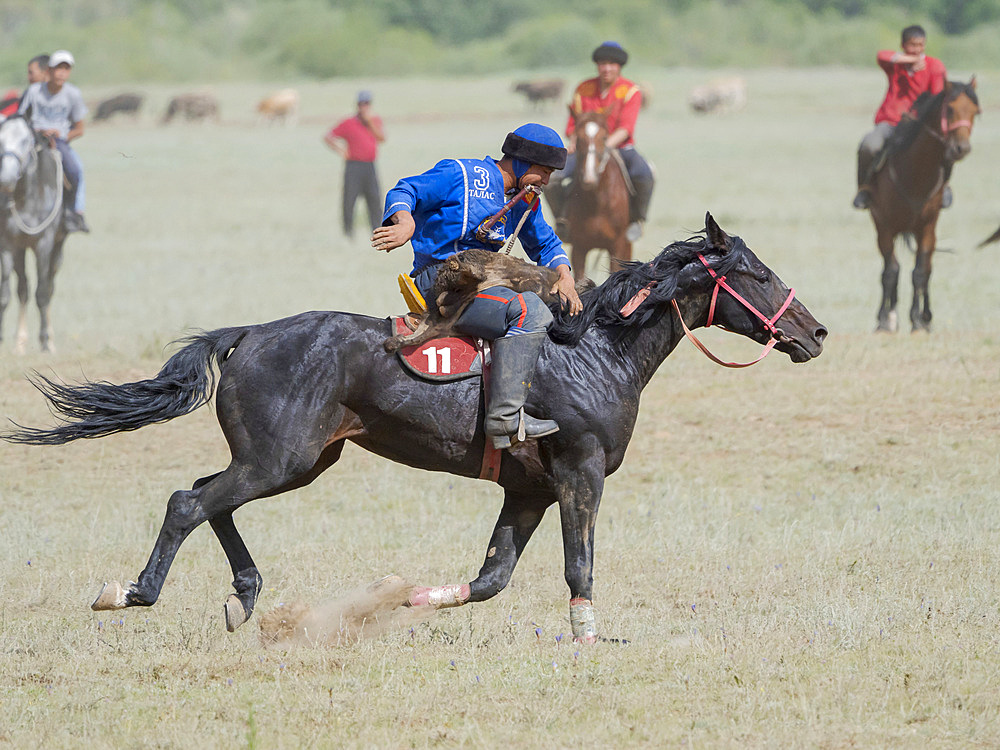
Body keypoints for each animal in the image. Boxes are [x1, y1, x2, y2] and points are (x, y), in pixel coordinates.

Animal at [3, 216, 824, 648]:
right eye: (754, 273)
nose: (814, 333)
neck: (595, 350)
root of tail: (248, 334)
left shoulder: (528, 492)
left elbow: (491, 578)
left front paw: (399, 598)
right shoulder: (578, 476)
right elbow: (578, 566)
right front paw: (587, 638)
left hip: (297, 462)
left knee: (212, 499)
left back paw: (244, 595)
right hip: (279, 459)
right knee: (187, 502)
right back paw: (131, 593)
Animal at [556, 112, 624, 284]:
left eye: (605, 137)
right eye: (578, 138)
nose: (589, 177)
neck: (597, 203)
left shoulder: (617, 246)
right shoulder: (579, 248)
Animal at [864, 78, 980, 332]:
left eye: (976, 111)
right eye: (950, 109)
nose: (962, 148)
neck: (914, 175)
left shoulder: (927, 227)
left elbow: (920, 272)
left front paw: (918, 320)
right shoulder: (884, 226)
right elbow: (890, 271)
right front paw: (884, 320)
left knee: (926, 269)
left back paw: (925, 317)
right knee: (894, 269)